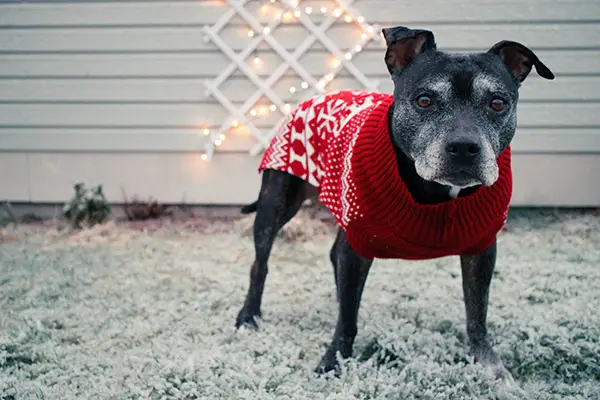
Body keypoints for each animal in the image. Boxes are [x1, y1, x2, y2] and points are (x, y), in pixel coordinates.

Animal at [232, 26, 556, 382]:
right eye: (424, 100)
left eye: (497, 103)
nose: (463, 147)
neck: (435, 192)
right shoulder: (355, 244)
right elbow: (347, 318)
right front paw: (334, 361)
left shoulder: (481, 250)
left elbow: (477, 312)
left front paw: (487, 364)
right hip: (276, 203)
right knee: (260, 263)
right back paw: (249, 316)